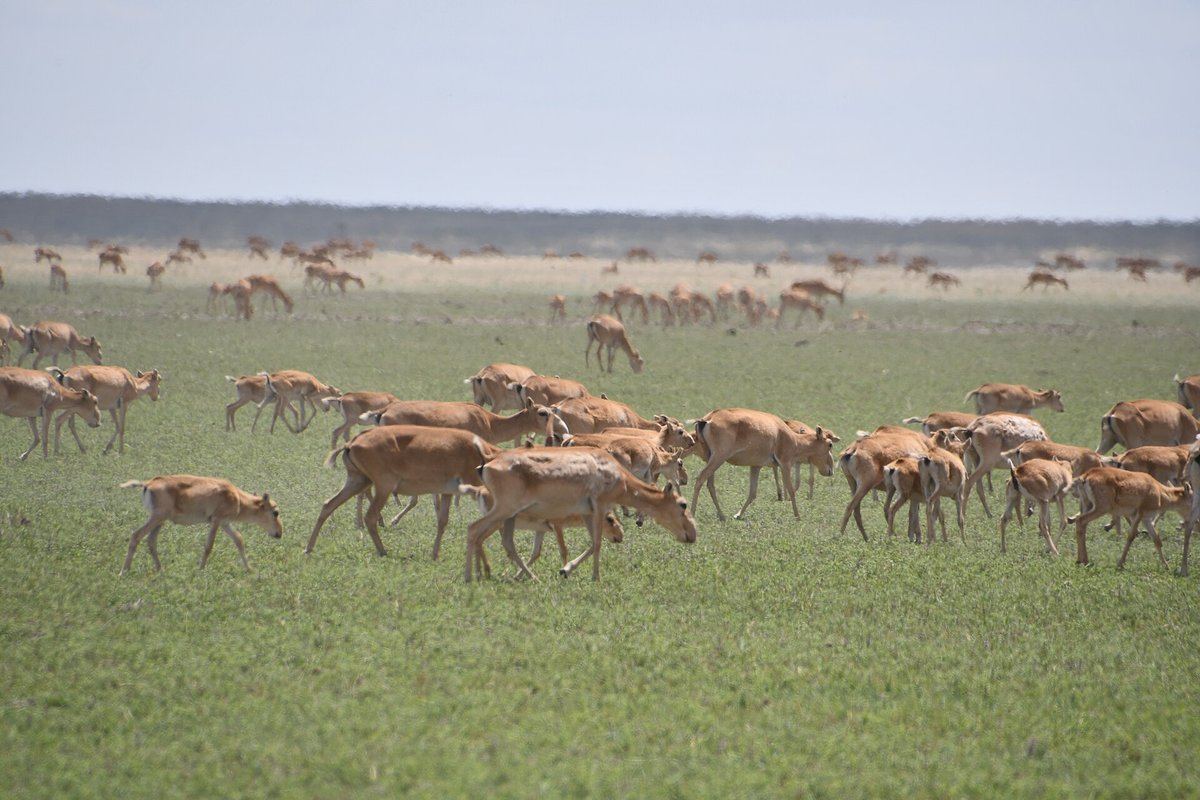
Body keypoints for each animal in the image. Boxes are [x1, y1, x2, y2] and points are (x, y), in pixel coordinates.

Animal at [120, 475, 281, 574]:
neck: (237, 497)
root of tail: (148, 484)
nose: (279, 533)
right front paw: (201, 570)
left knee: (151, 541)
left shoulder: (225, 523)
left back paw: (161, 570)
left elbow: (239, 540)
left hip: (160, 521)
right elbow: (209, 546)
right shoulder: (216, 521)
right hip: (157, 518)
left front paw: (250, 570)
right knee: (136, 535)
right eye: (275, 512)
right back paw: (124, 571)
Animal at [308, 425, 502, 559]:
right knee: (369, 517)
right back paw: (383, 551)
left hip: (358, 482)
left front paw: (435, 554)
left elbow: (442, 522)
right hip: (383, 487)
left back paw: (308, 548)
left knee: (328, 505)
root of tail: (352, 443)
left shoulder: (447, 493)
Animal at [463, 445, 695, 583]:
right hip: (504, 510)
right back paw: (470, 577)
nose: (693, 535)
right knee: (474, 529)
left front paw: (566, 570)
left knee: (506, 543)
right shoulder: (600, 506)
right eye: (683, 504)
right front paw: (596, 578)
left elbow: (592, 544)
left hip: (509, 516)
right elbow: (598, 544)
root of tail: (486, 465)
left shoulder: (587, 512)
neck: (617, 474)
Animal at [691, 408, 836, 521]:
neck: (791, 438)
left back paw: (721, 515)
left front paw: (738, 515)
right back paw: (692, 514)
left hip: (710, 458)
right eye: (830, 444)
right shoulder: (785, 464)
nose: (831, 471)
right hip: (718, 457)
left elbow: (752, 493)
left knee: (710, 484)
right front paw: (798, 517)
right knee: (700, 479)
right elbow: (791, 490)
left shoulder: (756, 466)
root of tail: (708, 419)